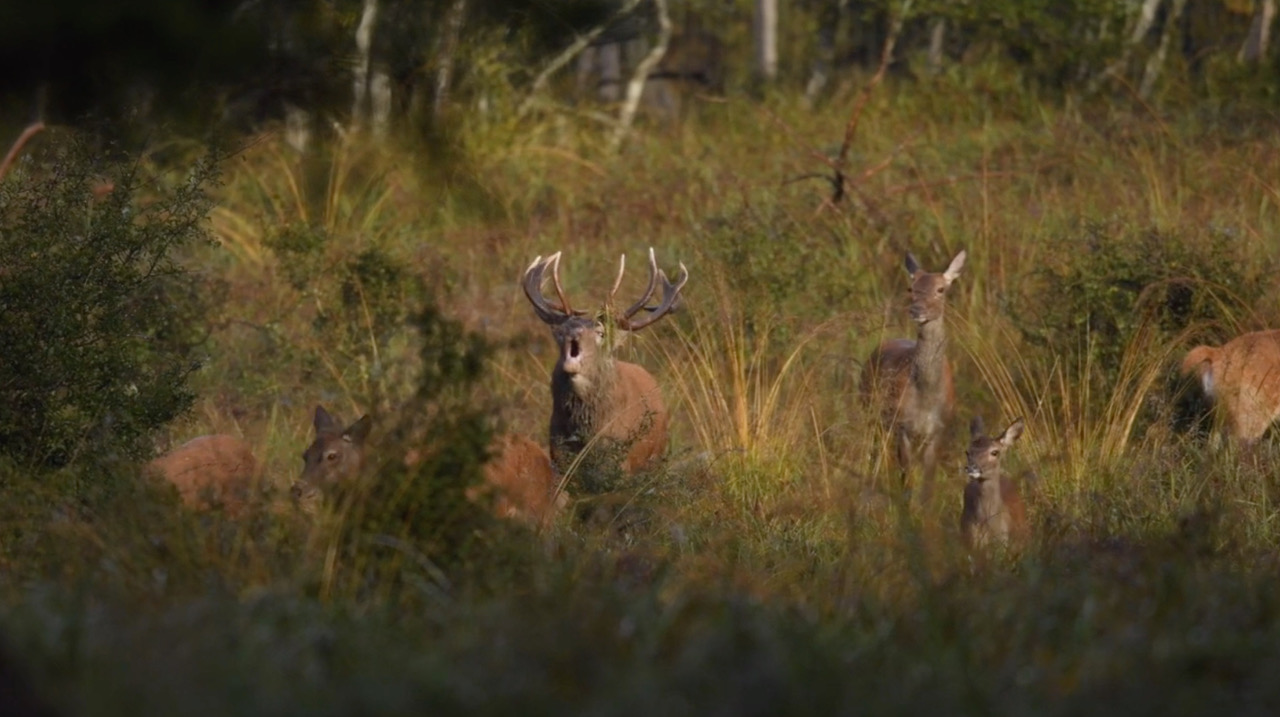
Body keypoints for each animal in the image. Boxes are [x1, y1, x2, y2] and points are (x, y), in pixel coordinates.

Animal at [522, 245, 691, 476]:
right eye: (562, 331)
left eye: (600, 333)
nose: (574, 332)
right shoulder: (558, 453)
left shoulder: (621, 459)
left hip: (655, 455)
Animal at [855, 250, 962, 499]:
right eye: (911, 288)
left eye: (941, 289)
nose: (916, 310)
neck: (926, 396)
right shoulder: (903, 425)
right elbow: (906, 478)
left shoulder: (939, 429)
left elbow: (928, 483)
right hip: (870, 411)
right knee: (872, 453)